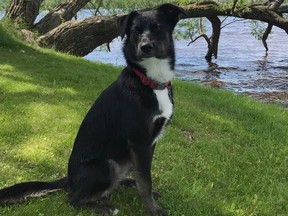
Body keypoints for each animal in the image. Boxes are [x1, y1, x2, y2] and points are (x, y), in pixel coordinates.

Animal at [0, 3, 184, 216]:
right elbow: (145, 182)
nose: (145, 47)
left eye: (157, 28)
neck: (150, 81)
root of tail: (69, 178)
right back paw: (104, 207)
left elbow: (144, 176)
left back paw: (126, 183)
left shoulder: (148, 144)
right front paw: (153, 209)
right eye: (135, 32)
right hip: (107, 164)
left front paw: (148, 196)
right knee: (73, 199)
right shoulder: (140, 142)